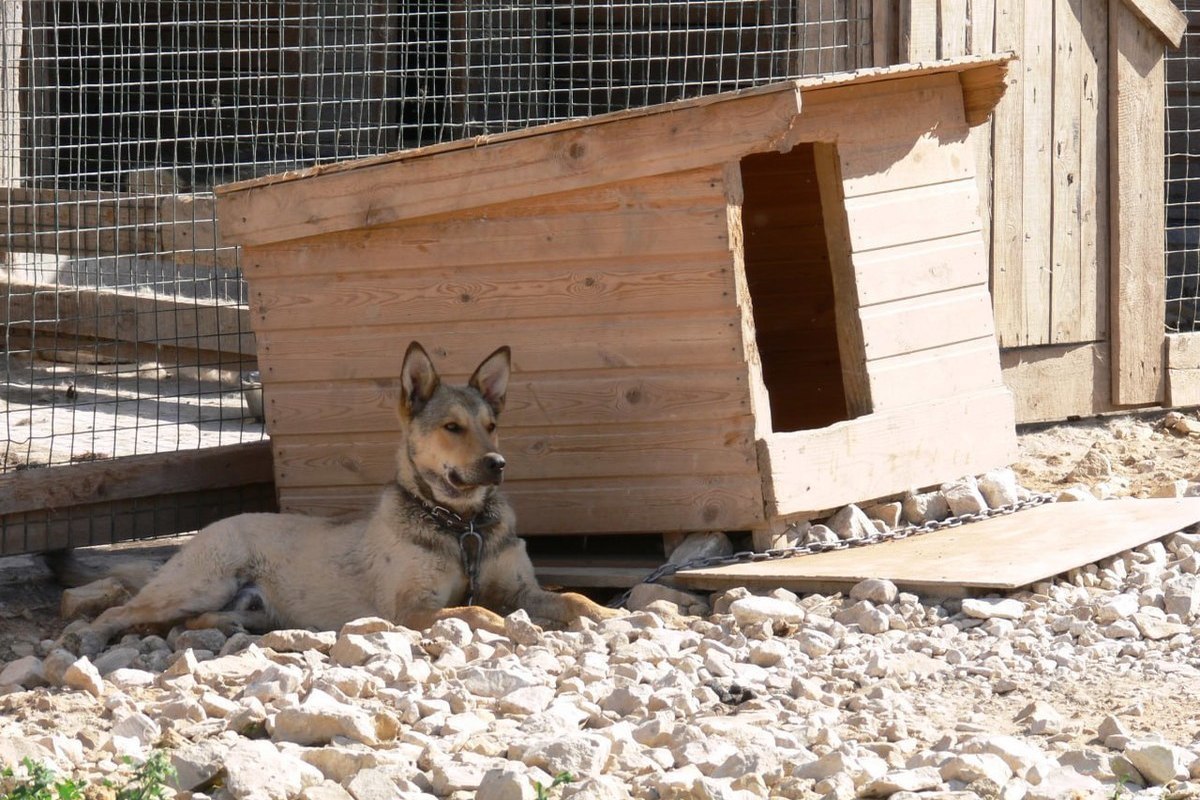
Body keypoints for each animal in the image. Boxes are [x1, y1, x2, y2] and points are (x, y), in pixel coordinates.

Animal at [64, 340, 624, 652]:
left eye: (491, 425)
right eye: (452, 427)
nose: (497, 465)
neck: (460, 524)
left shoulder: (523, 588)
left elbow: (573, 597)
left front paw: (614, 616)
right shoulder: (411, 609)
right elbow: (475, 613)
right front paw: (506, 627)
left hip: (241, 605)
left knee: (201, 621)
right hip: (200, 582)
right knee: (122, 612)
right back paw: (89, 636)